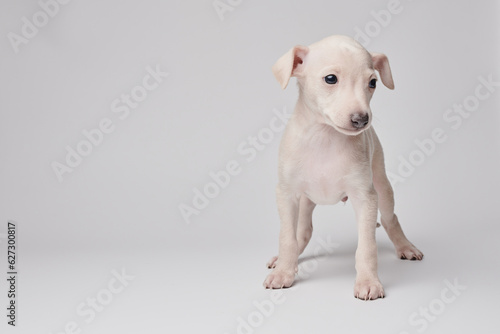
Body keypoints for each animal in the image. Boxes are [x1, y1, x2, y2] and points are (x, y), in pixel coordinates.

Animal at [264, 34, 424, 300]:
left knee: (390, 219)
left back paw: (406, 247)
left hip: (383, 188)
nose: (361, 120)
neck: (325, 138)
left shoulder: (365, 197)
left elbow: (367, 246)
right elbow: (287, 237)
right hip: (305, 201)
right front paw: (284, 272)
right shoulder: (287, 194)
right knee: (303, 231)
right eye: (330, 79)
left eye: (373, 82)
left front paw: (368, 282)